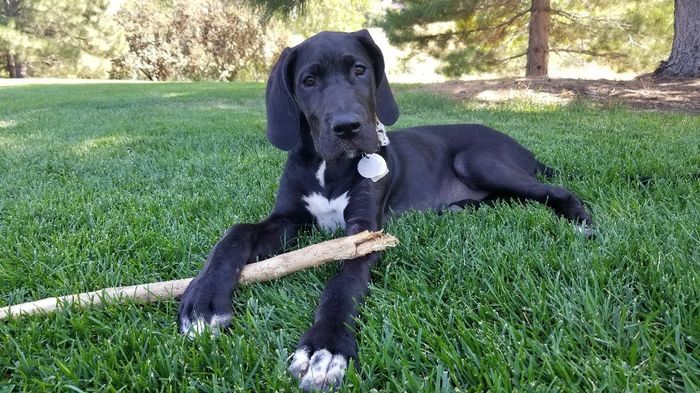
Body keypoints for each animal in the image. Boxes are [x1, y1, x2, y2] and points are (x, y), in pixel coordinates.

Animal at [178, 29, 592, 388]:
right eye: (308, 81)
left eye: (360, 70)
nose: (348, 127)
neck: (330, 167)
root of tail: (523, 148)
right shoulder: (286, 218)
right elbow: (237, 232)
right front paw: (204, 302)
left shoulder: (363, 231)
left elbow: (343, 284)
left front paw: (325, 348)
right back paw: (456, 209)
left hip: (478, 161)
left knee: (555, 190)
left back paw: (582, 224)